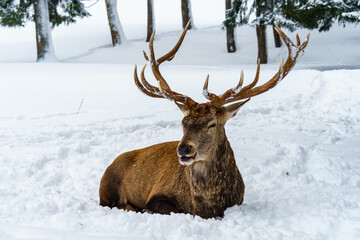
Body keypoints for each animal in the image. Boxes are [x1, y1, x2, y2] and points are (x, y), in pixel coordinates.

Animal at [99, 21, 310, 218]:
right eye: (183, 122)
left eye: (212, 124)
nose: (184, 149)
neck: (207, 205)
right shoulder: (156, 196)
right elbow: (171, 210)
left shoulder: (239, 200)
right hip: (107, 186)